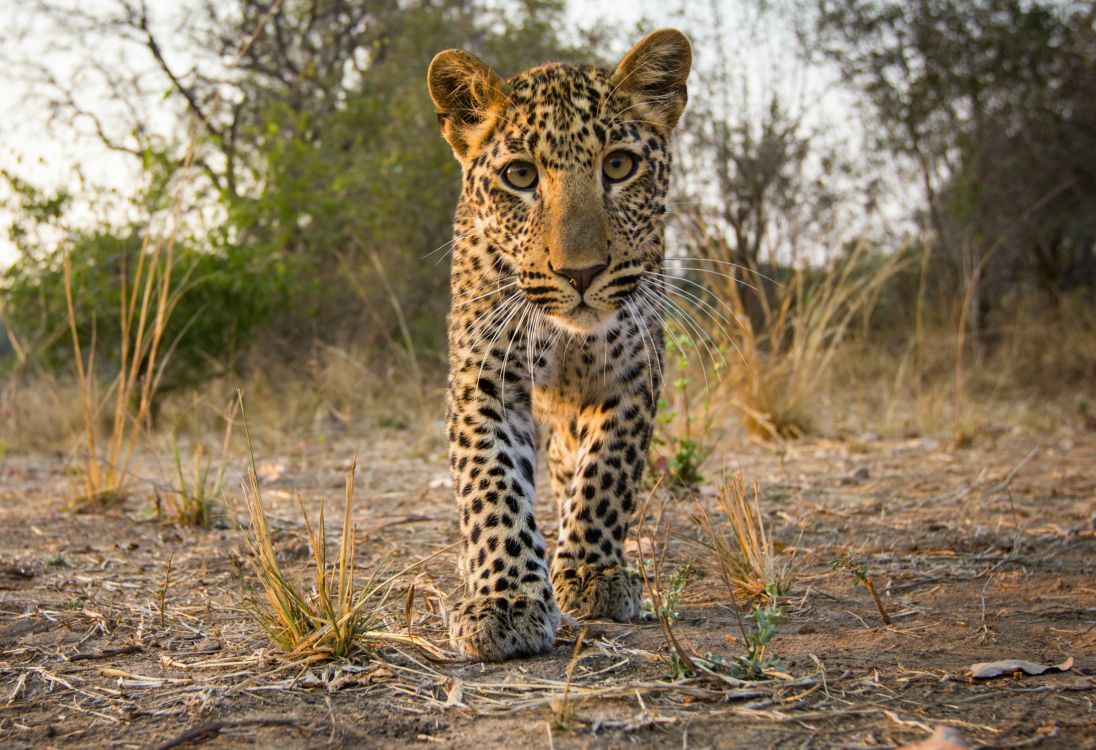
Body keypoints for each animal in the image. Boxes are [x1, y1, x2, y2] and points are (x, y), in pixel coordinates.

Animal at [427, 29, 692, 661]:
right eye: (521, 176)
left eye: (618, 165)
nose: (581, 272)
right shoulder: (485, 380)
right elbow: (493, 486)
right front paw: (505, 601)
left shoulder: (634, 374)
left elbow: (607, 474)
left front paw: (591, 572)